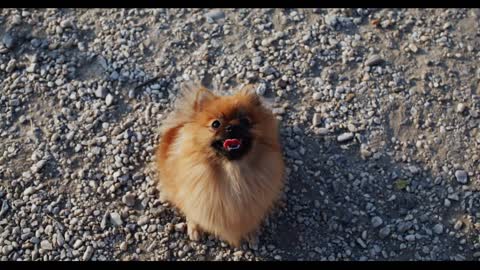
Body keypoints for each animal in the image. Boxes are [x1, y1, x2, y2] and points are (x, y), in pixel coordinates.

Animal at [155, 84, 284, 247]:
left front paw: (251, 232)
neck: (233, 174)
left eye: (245, 121)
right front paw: (194, 227)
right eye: (215, 124)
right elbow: (192, 212)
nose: (231, 127)